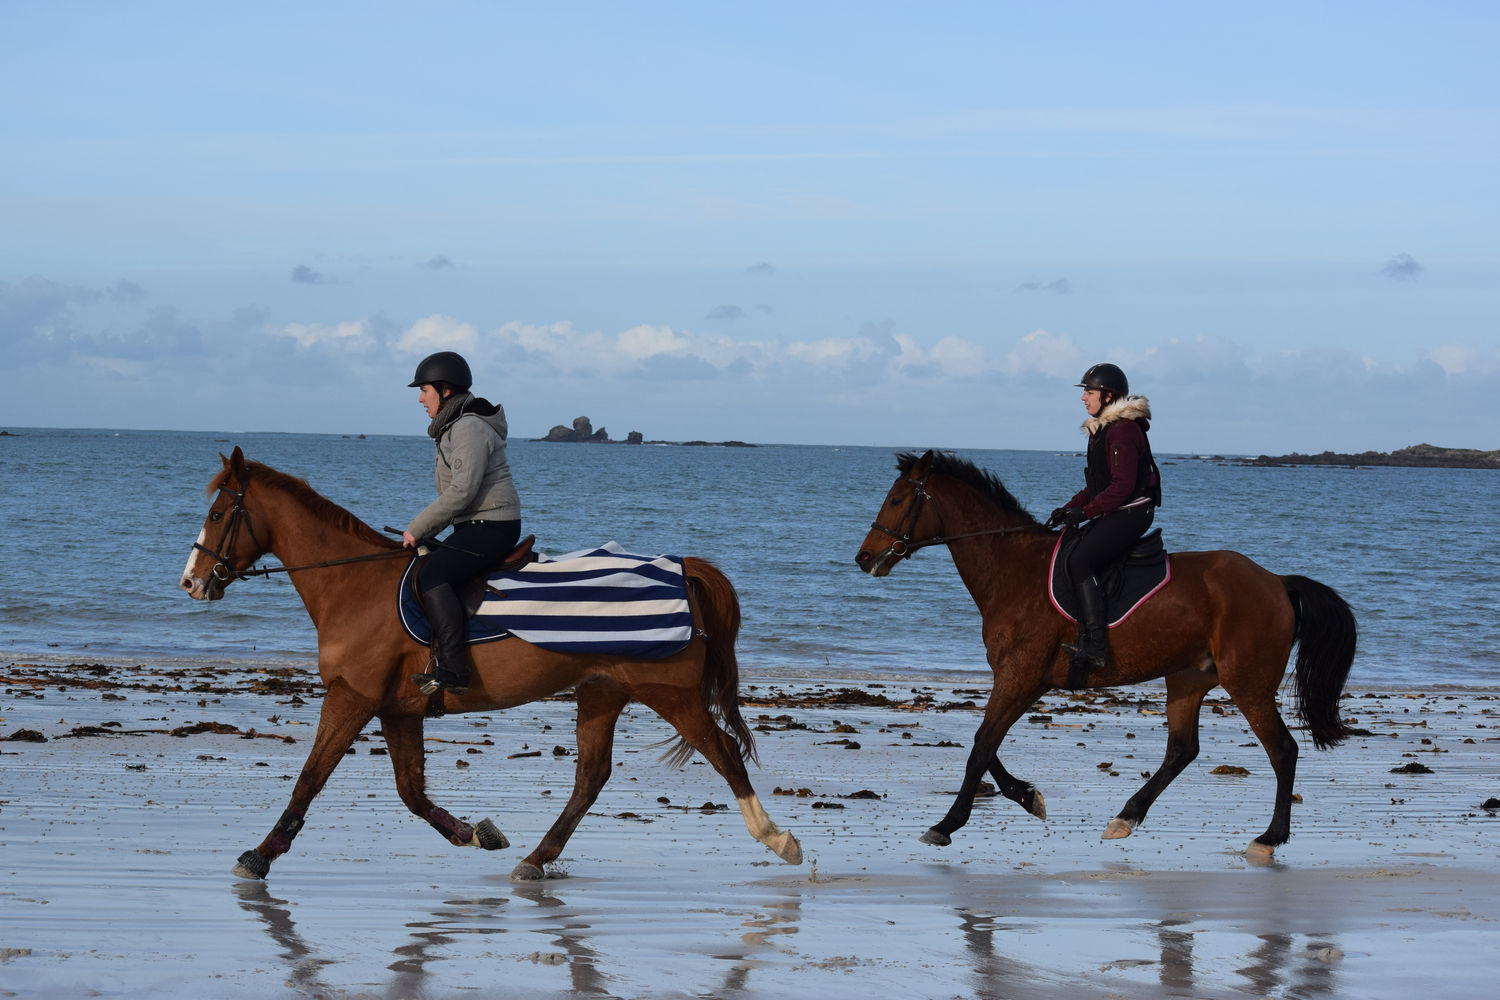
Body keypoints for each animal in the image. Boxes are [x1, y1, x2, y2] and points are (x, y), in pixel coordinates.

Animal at [180, 449, 804, 881]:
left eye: (218, 511)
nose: (190, 582)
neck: (354, 584)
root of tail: (682, 570)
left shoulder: (351, 698)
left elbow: (310, 778)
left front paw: (261, 855)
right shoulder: (397, 711)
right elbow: (411, 792)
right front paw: (476, 833)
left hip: (670, 694)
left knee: (724, 754)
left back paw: (778, 840)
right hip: (601, 693)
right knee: (590, 778)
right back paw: (535, 858)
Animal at [858, 449, 1362, 857]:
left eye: (898, 500)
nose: (864, 558)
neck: (1013, 569)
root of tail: (1276, 582)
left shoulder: (1019, 675)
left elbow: (981, 746)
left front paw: (946, 825)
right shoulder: (1024, 679)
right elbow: (988, 744)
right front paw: (1027, 796)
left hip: (1248, 683)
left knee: (1283, 750)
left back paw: (1268, 838)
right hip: (1188, 678)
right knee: (1183, 750)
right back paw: (1125, 818)